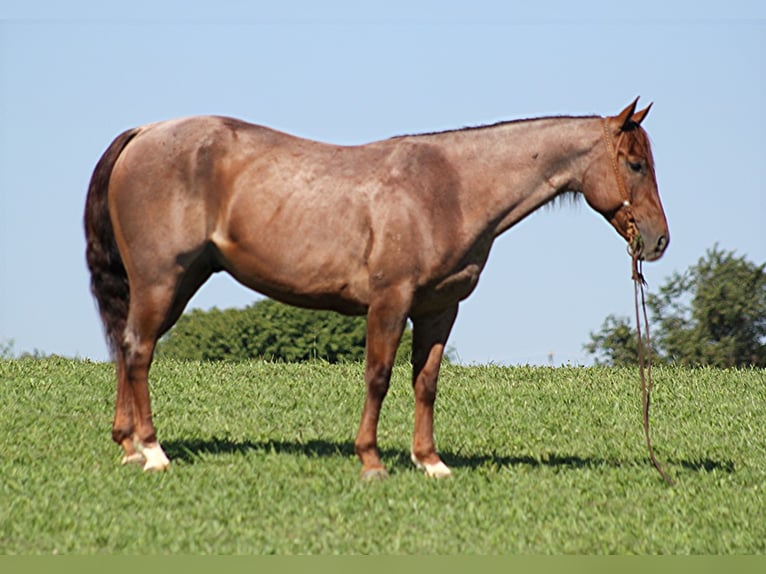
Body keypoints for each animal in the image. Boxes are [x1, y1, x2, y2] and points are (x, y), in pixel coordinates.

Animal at [84, 100, 668, 482]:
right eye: (635, 163)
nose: (660, 239)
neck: (450, 188)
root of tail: (144, 132)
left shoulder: (439, 308)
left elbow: (426, 382)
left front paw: (430, 462)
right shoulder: (390, 302)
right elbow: (379, 377)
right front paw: (370, 460)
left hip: (174, 284)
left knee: (129, 349)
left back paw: (128, 445)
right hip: (163, 280)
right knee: (139, 351)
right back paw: (153, 451)